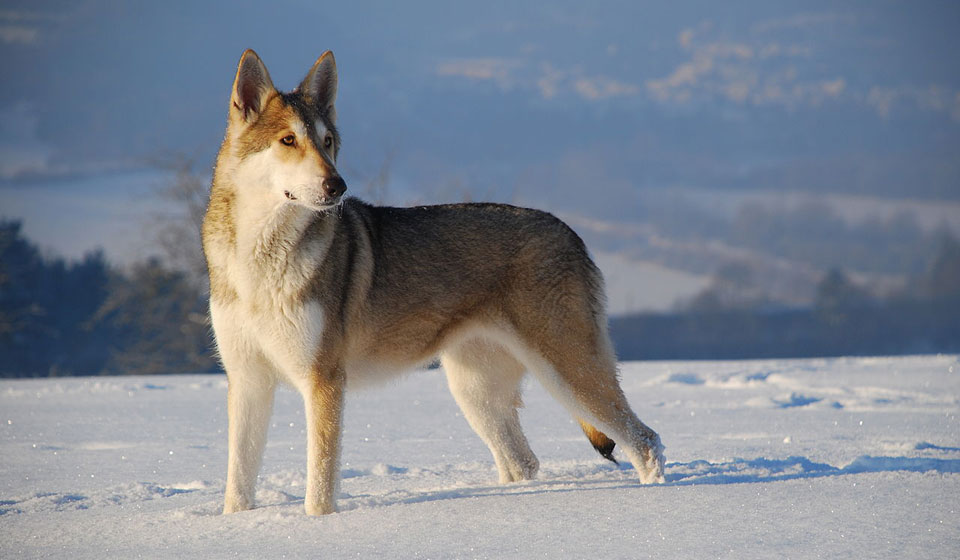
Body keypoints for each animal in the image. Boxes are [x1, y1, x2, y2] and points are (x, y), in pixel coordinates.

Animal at [204, 49, 668, 516]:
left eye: (328, 142)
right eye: (288, 140)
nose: (338, 185)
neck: (259, 257)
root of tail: (574, 235)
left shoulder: (323, 381)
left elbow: (319, 488)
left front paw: (317, 523)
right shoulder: (247, 382)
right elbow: (237, 485)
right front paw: (234, 523)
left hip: (565, 373)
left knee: (646, 441)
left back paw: (655, 499)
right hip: (475, 393)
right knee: (525, 463)